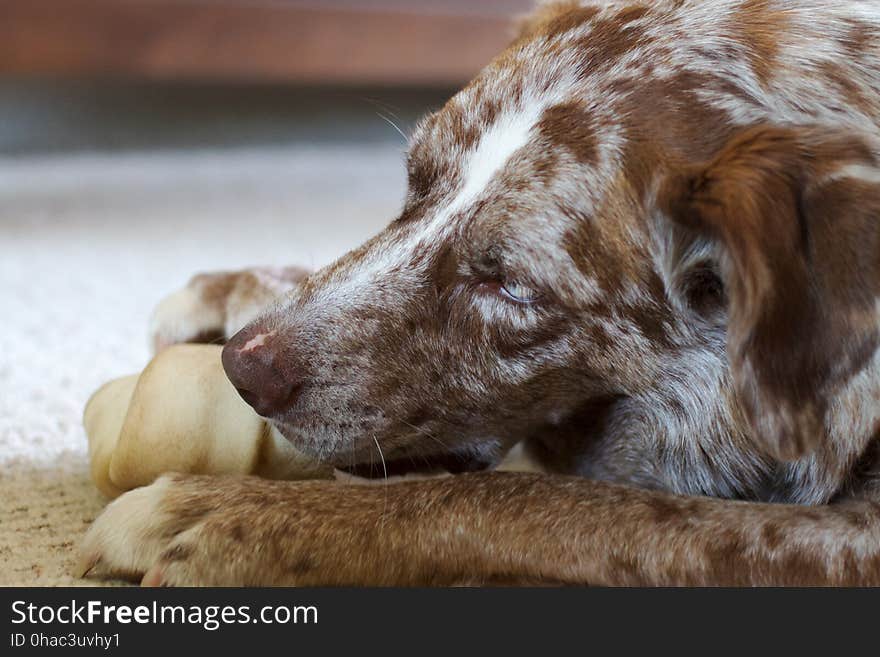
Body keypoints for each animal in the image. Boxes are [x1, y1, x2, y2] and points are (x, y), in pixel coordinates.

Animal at [79, 0, 880, 584]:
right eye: (413, 182)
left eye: (511, 285)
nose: (243, 371)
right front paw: (235, 288)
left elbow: (542, 503)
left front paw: (234, 520)